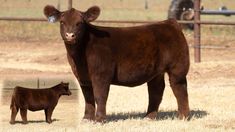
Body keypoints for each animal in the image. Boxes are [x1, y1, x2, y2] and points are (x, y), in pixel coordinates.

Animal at [43, 5, 189, 122]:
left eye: (80, 23)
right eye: (62, 22)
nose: (70, 35)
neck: (79, 58)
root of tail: (170, 23)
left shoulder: (102, 74)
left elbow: (100, 95)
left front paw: (100, 119)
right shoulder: (82, 77)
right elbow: (88, 97)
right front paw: (87, 118)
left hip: (178, 68)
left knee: (180, 89)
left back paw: (182, 117)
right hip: (155, 71)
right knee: (156, 90)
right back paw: (149, 117)